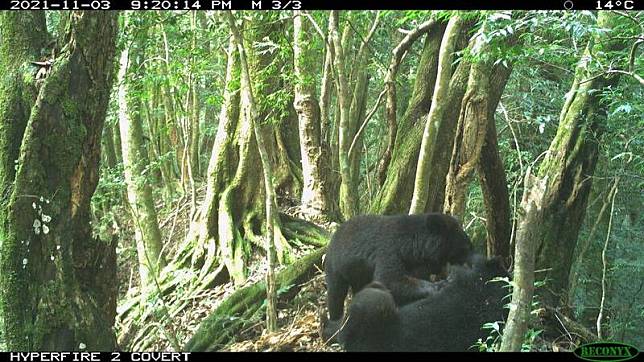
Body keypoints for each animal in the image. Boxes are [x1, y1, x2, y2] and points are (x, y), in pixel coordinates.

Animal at [324, 212, 470, 340]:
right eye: (464, 245)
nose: (472, 249)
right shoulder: (389, 251)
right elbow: (389, 280)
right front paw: (439, 285)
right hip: (336, 266)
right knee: (335, 293)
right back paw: (334, 323)